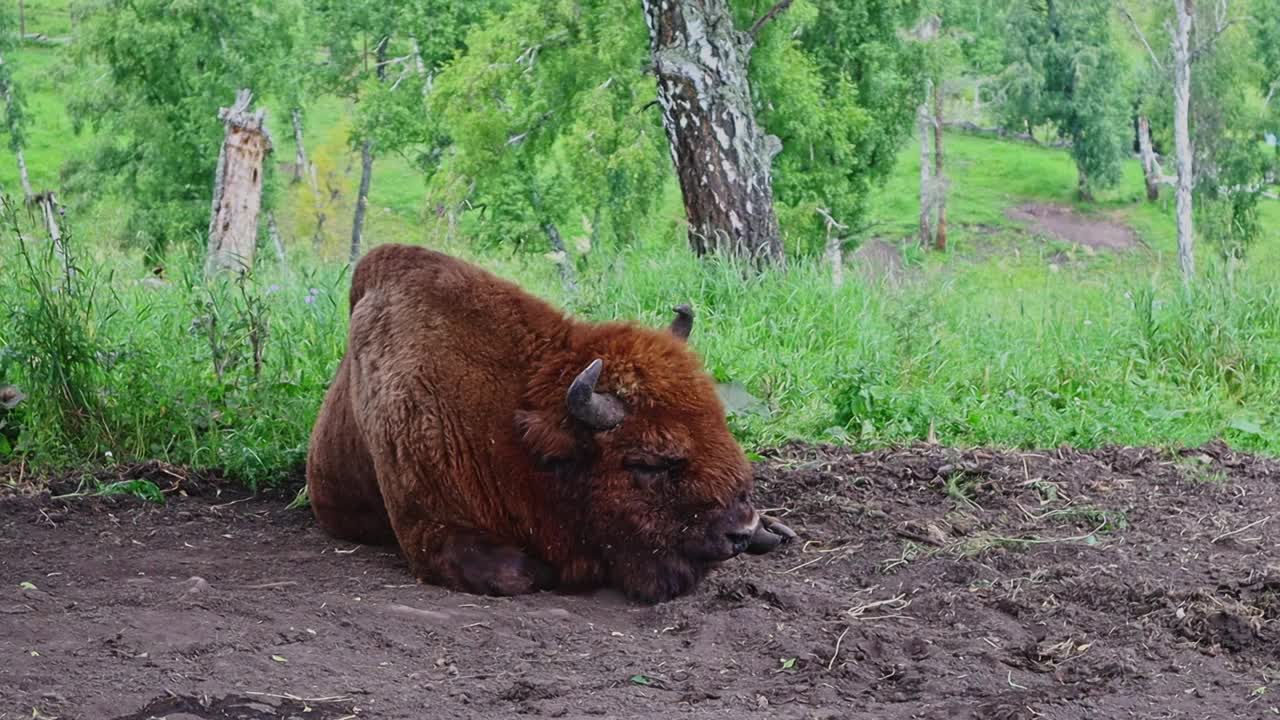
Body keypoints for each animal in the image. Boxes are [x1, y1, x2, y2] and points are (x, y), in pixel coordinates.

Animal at [307, 243, 788, 602]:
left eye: (720, 424)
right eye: (648, 463)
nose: (740, 530)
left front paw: (768, 530)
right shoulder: (430, 528)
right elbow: (519, 574)